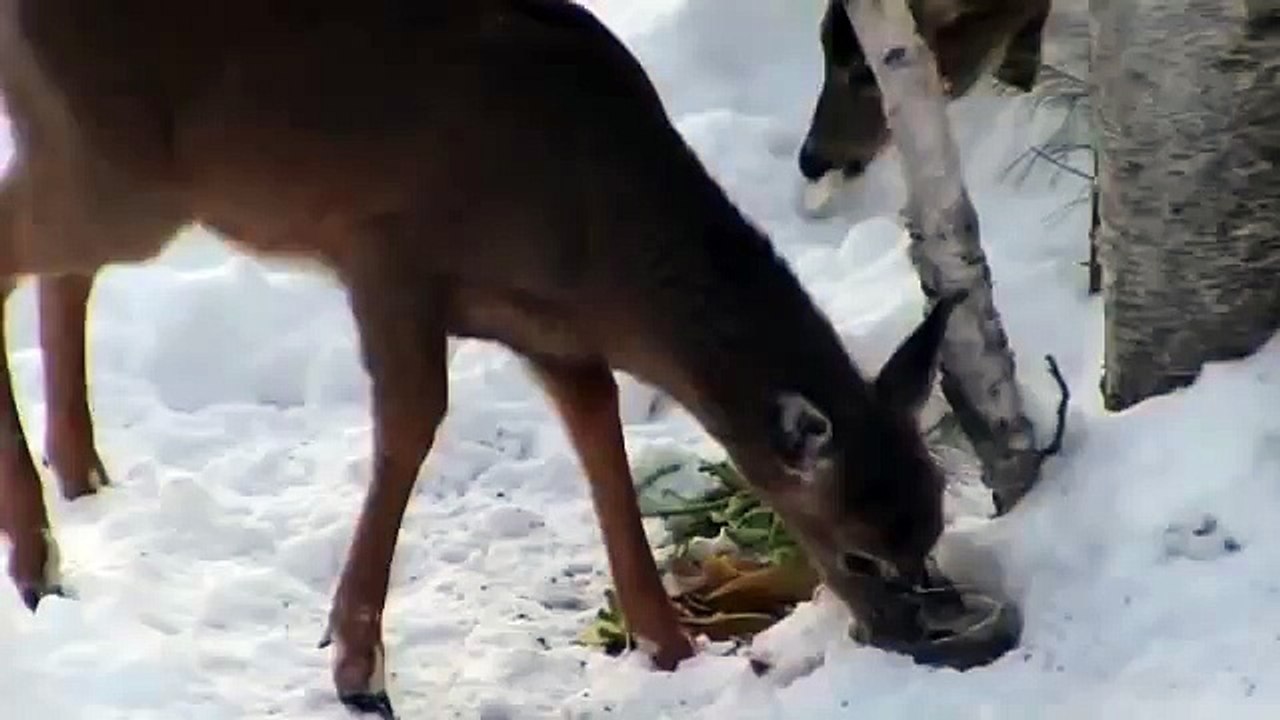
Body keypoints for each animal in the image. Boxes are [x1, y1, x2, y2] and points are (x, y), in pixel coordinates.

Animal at [0, 1, 968, 716]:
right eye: (859, 554)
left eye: (930, 528)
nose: (917, 633)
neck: (593, 228)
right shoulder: (386, 252)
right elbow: (413, 422)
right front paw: (358, 667)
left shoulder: (554, 330)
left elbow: (599, 430)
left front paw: (667, 641)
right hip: (122, 166)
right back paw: (37, 559)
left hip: (96, 165)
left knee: (63, 274)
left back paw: (80, 476)